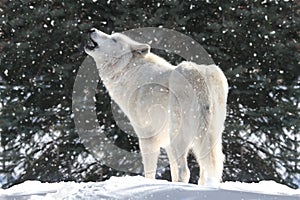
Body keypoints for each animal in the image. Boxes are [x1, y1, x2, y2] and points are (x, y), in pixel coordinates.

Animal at [84, 28, 227, 186]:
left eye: (114, 40)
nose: (92, 29)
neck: (128, 72)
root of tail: (198, 75)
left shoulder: (147, 137)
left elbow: (150, 172)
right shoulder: (167, 144)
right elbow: (173, 172)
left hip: (179, 136)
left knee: (186, 171)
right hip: (208, 136)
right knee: (205, 171)